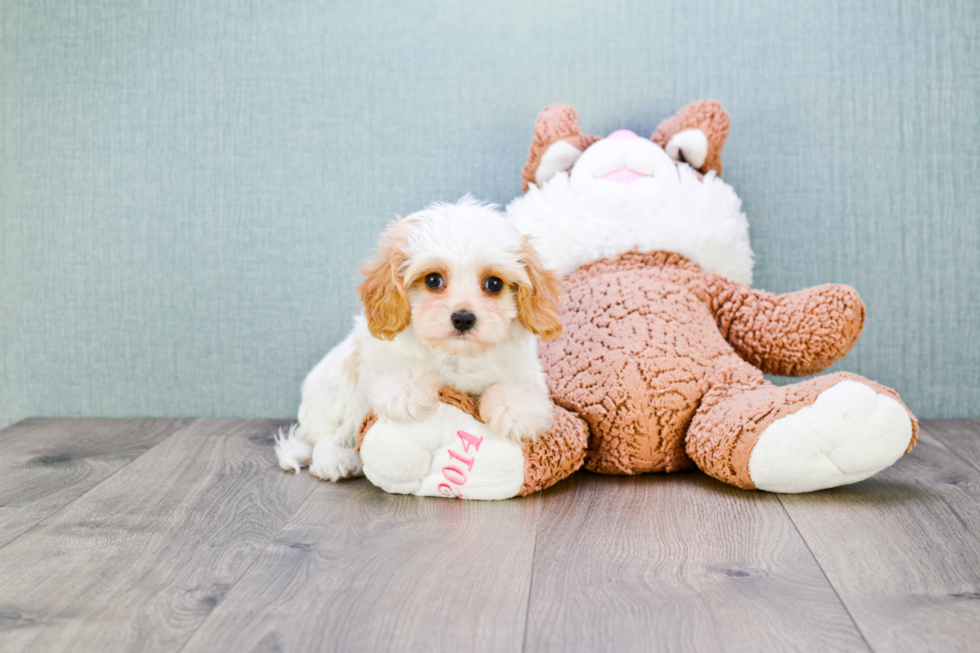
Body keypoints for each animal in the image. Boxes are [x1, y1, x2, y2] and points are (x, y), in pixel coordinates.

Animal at [280, 196, 564, 482]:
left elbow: (519, 385)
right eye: (433, 280)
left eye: (494, 284)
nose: (463, 318)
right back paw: (336, 460)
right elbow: (396, 365)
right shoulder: (375, 353)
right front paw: (408, 393)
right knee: (329, 434)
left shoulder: (525, 367)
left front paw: (513, 411)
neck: (456, 356)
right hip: (334, 390)